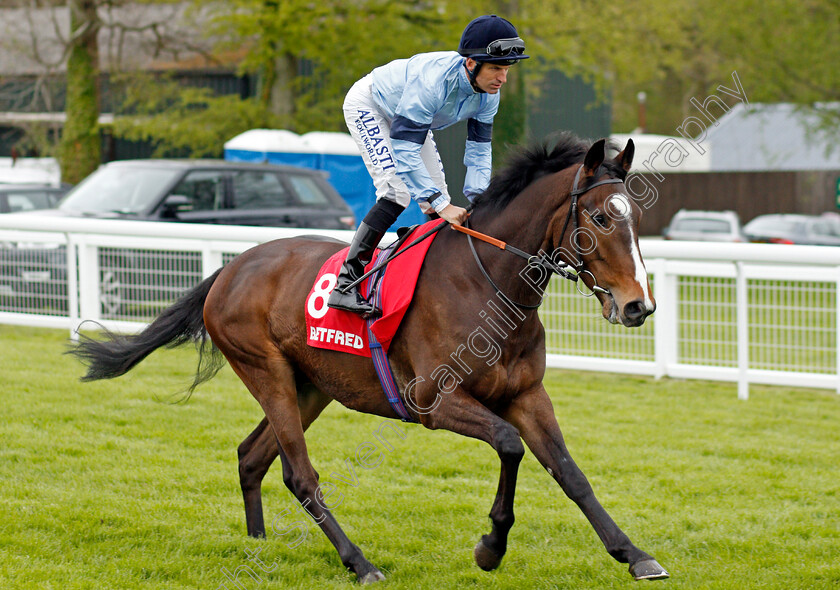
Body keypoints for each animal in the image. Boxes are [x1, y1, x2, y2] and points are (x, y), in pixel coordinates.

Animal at [67, 133, 668, 584]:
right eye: (600, 217)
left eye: (635, 216)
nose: (638, 305)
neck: (487, 286)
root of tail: (230, 268)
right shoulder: (433, 401)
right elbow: (509, 444)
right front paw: (490, 546)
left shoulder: (526, 394)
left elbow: (569, 472)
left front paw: (634, 554)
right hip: (267, 373)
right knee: (300, 475)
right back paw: (359, 563)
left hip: (311, 385)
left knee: (252, 456)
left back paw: (259, 544)